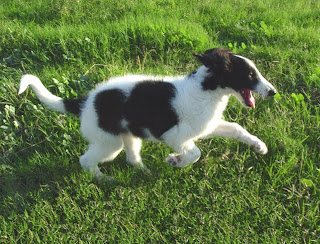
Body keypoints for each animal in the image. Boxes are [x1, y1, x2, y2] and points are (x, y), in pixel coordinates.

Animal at [18, 47, 276, 178]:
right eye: (250, 75)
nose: (273, 92)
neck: (206, 90)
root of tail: (85, 101)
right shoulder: (175, 136)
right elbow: (195, 153)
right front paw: (175, 161)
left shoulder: (209, 126)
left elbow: (237, 129)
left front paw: (259, 146)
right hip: (110, 143)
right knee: (86, 161)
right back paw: (104, 180)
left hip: (129, 136)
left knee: (131, 159)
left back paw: (145, 172)